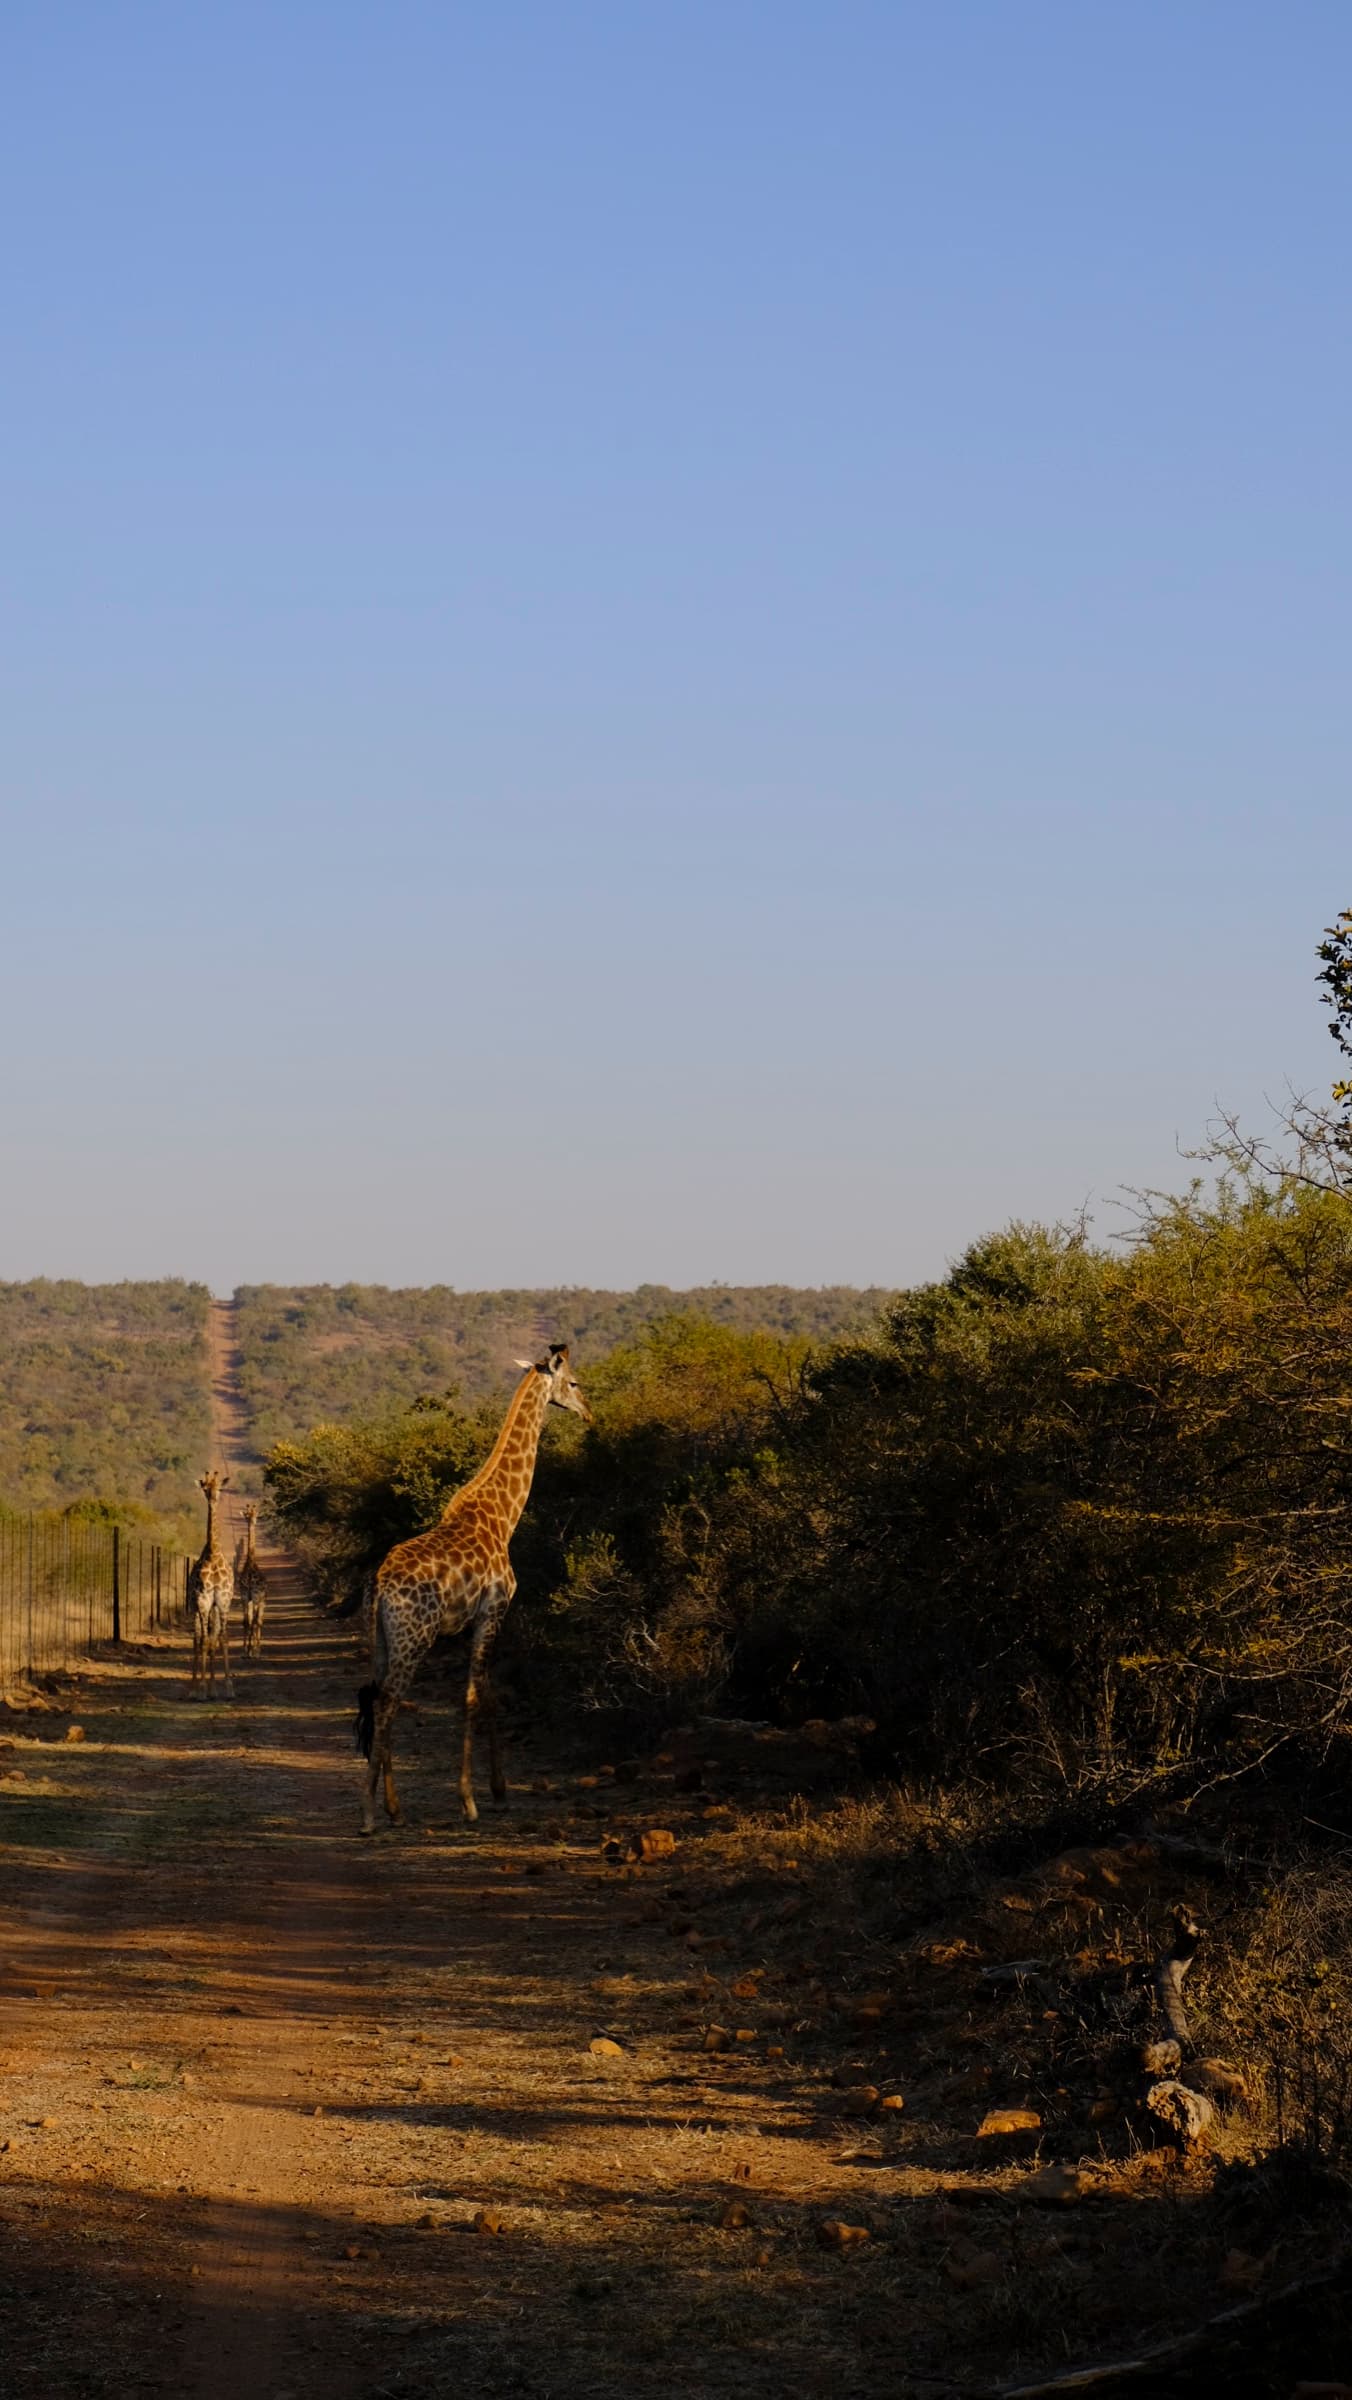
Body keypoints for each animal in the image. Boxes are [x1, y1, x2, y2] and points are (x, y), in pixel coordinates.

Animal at [355, 1344, 592, 1834]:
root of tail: (380, 1585)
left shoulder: (476, 1620)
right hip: (414, 1637)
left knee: (378, 1697)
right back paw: (370, 1813)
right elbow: (474, 1696)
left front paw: (497, 1792)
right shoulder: (493, 1611)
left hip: (381, 1639)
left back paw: (395, 1808)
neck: (502, 1517)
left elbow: (486, 1693)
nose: (589, 1414)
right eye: (575, 1382)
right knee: (388, 1702)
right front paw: (474, 1799)